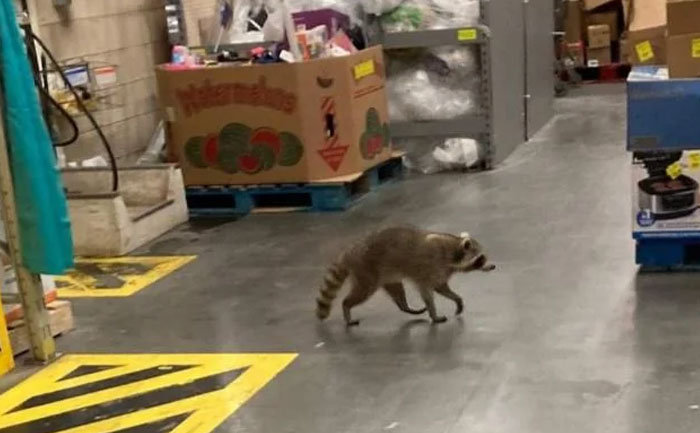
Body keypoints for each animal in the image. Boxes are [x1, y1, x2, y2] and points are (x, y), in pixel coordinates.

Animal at [315, 226, 494, 326]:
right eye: (481, 259)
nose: (493, 266)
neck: (453, 249)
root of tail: (349, 252)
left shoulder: (443, 270)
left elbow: (441, 287)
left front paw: (457, 299)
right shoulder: (430, 266)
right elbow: (427, 292)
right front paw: (434, 313)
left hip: (387, 275)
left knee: (397, 292)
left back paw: (406, 307)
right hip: (366, 271)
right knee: (361, 292)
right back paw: (346, 307)